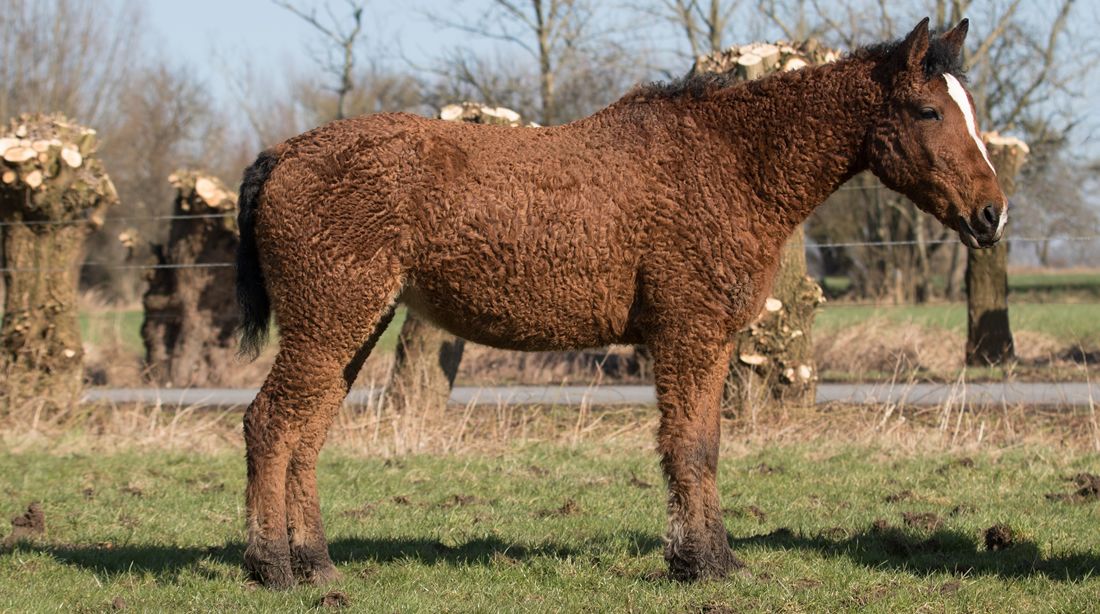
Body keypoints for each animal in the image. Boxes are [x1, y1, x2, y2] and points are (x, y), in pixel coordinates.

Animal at [235, 18, 1006, 588]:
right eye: (929, 110)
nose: (993, 213)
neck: (730, 163)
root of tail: (285, 153)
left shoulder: (709, 342)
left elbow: (704, 444)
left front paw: (706, 556)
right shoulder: (690, 334)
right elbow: (690, 447)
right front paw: (704, 564)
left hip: (350, 328)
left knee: (305, 436)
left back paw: (317, 566)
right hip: (329, 325)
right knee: (270, 425)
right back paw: (273, 567)